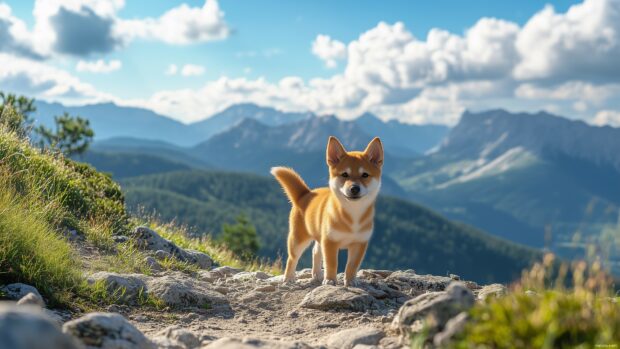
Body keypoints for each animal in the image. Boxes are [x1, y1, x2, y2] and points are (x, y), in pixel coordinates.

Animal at [272, 136, 382, 286]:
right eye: (344, 174)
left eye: (365, 175)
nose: (354, 188)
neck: (353, 216)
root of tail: (305, 194)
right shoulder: (330, 241)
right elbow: (331, 263)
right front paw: (330, 279)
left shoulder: (359, 243)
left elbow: (352, 266)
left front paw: (350, 281)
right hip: (298, 239)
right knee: (292, 258)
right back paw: (289, 278)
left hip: (319, 236)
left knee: (315, 252)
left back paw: (317, 274)